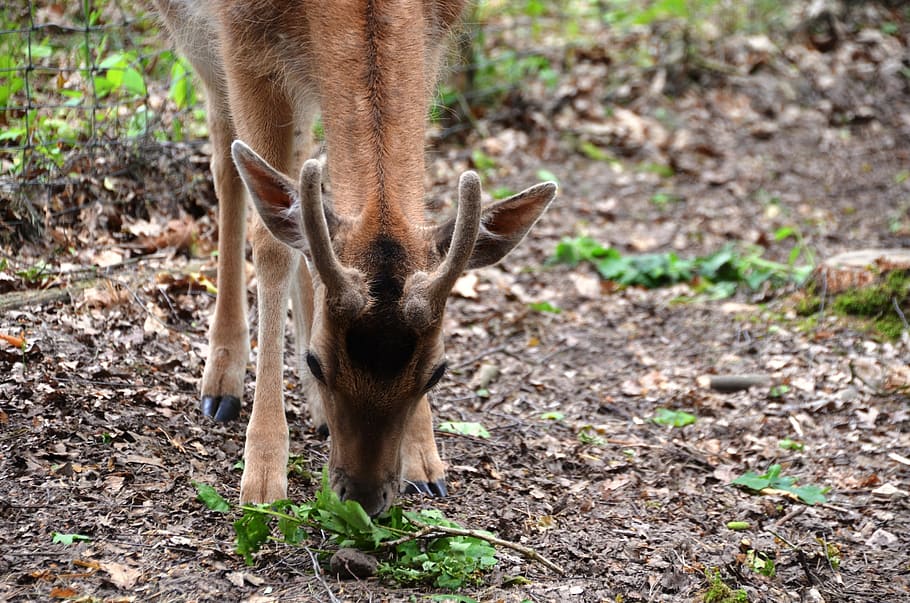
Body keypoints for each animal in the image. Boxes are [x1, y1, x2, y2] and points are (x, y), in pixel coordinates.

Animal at [155, 0, 557, 516]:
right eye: (315, 362)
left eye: (438, 372)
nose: (364, 497)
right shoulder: (241, 42)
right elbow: (271, 243)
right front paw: (263, 476)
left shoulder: (434, 36)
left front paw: (425, 462)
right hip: (192, 34)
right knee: (227, 161)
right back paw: (221, 382)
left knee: (300, 174)